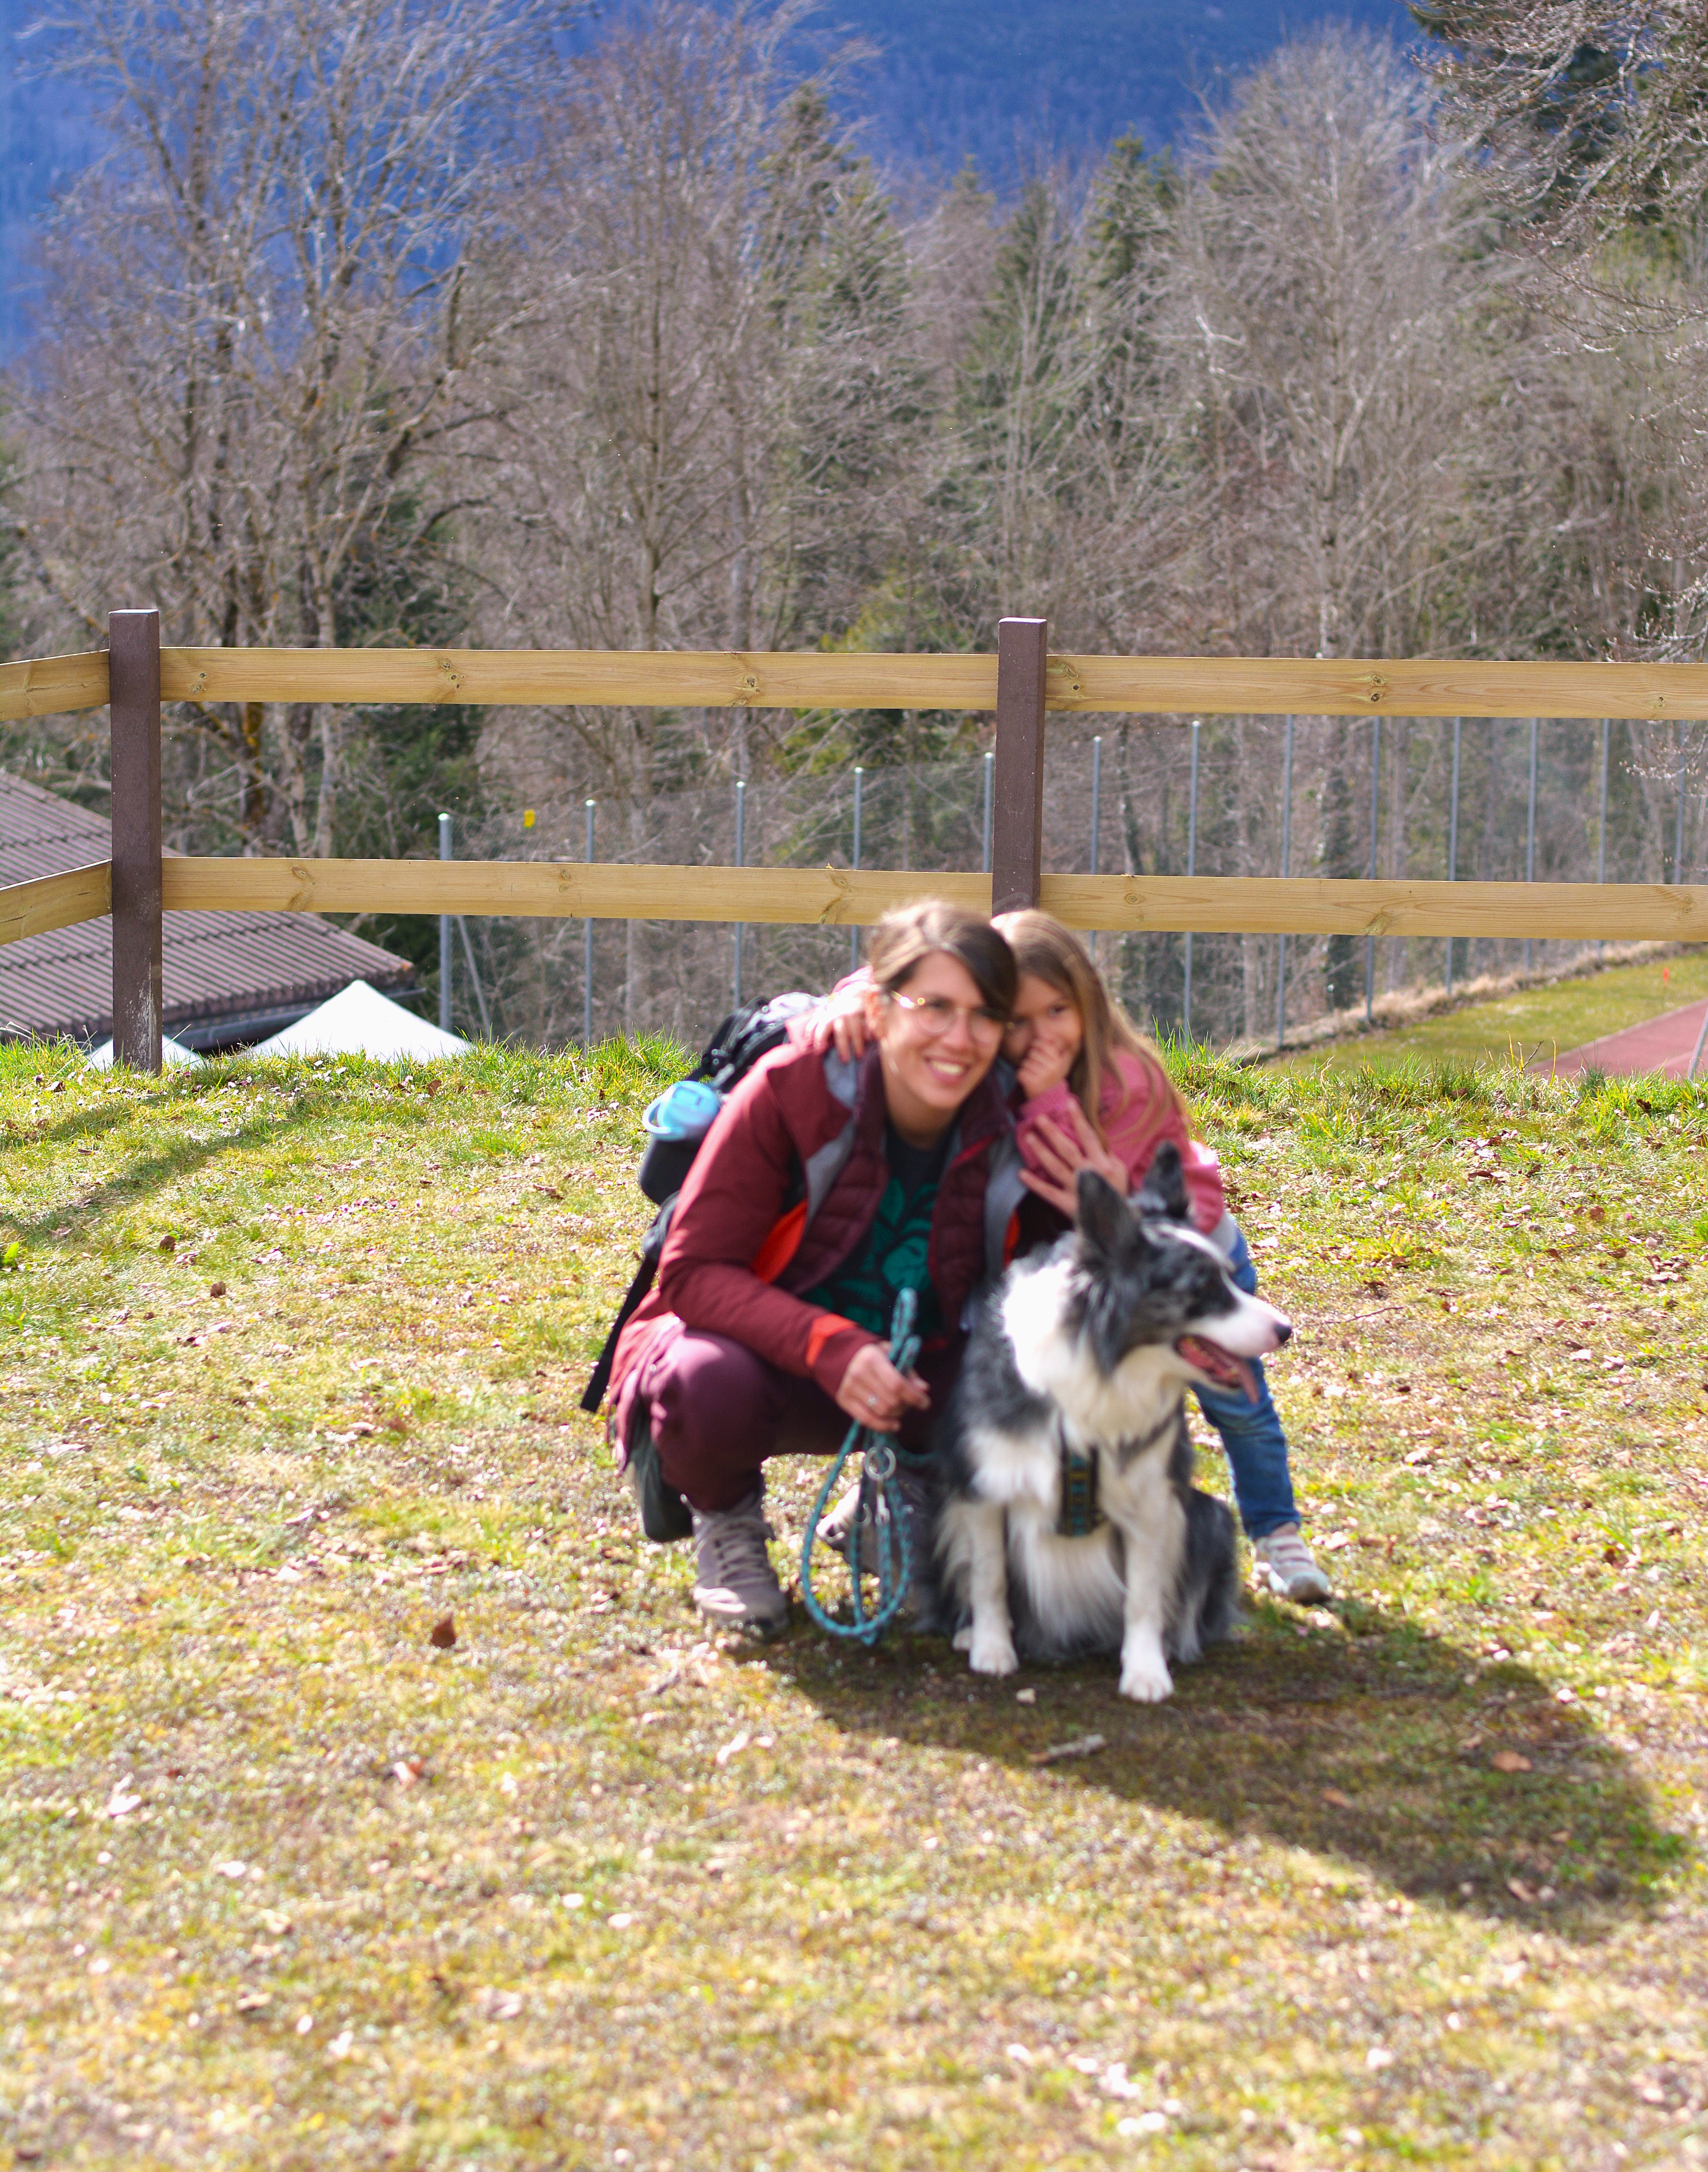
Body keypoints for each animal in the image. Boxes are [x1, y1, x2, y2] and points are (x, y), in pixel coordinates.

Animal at [934, 1145, 1292, 1702]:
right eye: (1203, 1288)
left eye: (1231, 1278)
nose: (1285, 1329)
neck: (1099, 1372)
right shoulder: (986, 1482)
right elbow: (989, 1576)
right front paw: (992, 1648)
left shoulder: (1150, 1498)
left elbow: (1143, 1596)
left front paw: (1145, 1671)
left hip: (1210, 1518)